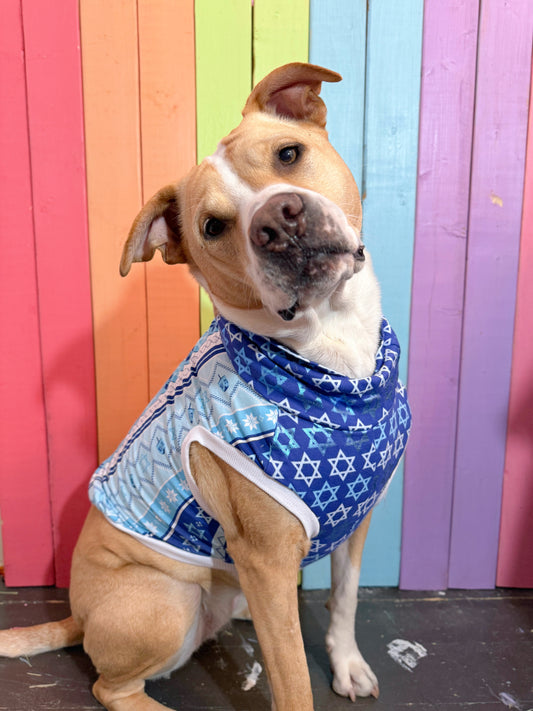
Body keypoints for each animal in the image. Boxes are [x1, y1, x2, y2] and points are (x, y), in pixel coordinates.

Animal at [0, 64, 412, 708]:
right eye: (213, 227)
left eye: (288, 154)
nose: (278, 220)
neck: (334, 359)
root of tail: (78, 616)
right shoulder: (268, 563)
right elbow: (293, 679)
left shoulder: (356, 522)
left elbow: (344, 600)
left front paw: (347, 665)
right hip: (167, 601)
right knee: (111, 686)